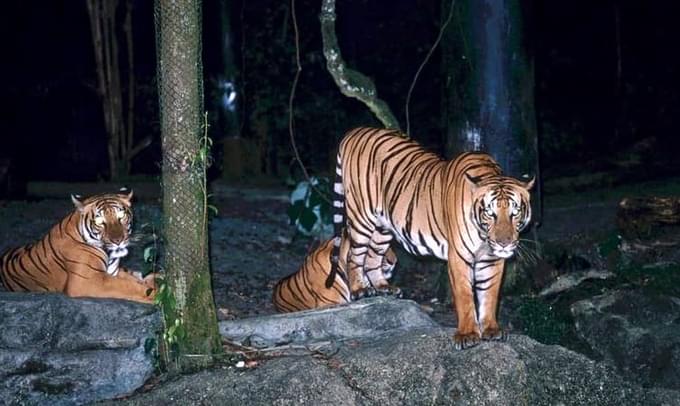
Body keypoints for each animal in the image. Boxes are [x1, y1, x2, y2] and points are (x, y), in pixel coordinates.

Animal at [0, 189, 157, 302]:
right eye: (100, 222)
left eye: (121, 217)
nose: (118, 240)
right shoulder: (88, 280)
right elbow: (130, 287)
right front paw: (157, 295)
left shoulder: (113, 272)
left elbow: (134, 280)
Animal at [332, 127, 532, 348]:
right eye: (490, 213)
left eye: (515, 212)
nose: (504, 244)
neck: (483, 237)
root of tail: (355, 131)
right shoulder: (459, 257)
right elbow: (465, 296)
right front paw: (467, 335)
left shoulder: (492, 259)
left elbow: (489, 295)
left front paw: (491, 329)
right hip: (362, 217)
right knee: (353, 255)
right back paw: (360, 290)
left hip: (383, 227)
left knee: (372, 257)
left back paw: (384, 288)